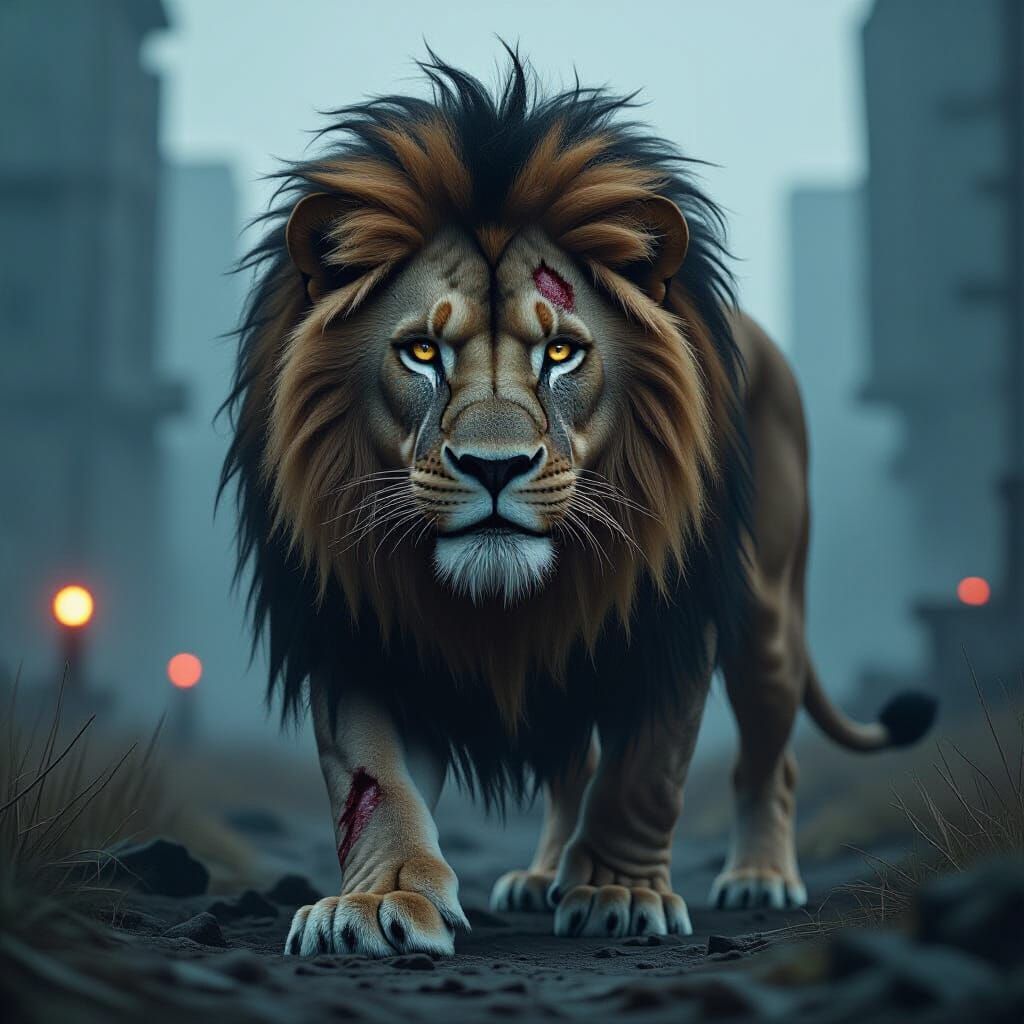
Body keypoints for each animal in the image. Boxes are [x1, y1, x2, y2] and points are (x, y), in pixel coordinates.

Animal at [221, 53, 936, 958]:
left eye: (561, 352)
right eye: (421, 352)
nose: (494, 468)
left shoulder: (669, 619)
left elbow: (646, 772)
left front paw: (620, 894)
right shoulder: (354, 620)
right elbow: (372, 774)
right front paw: (379, 901)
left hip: (768, 620)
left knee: (770, 758)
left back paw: (760, 877)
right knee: (571, 767)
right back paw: (540, 877)